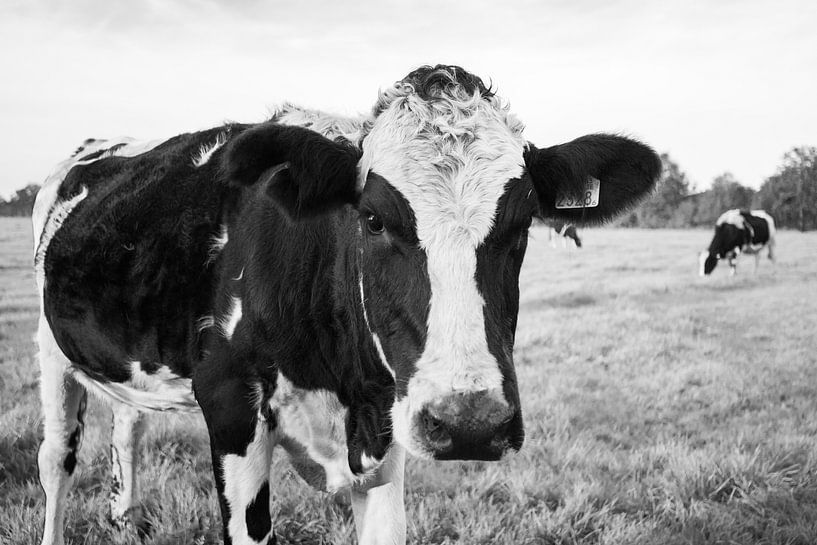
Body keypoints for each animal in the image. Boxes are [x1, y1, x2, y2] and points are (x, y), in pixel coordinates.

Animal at [33, 65, 664, 544]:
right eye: (373, 218)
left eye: (524, 223)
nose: (470, 423)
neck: (344, 387)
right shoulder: (230, 405)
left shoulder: (389, 426)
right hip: (51, 351)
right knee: (56, 460)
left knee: (128, 427)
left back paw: (126, 518)